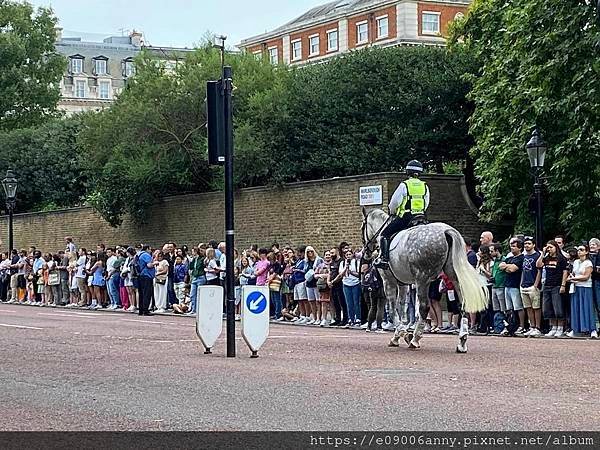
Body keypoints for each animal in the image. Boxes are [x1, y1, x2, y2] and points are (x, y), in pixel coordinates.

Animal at [360, 209, 488, 354]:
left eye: (362, 227)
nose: (366, 253)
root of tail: (446, 231)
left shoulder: (389, 281)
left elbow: (393, 308)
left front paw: (402, 333)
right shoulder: (403, 283)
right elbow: (401, 307)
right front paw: (398, 335)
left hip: (422, 279)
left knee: (424, 307)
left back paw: (415, 339)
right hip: (454, 276)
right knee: (462, 304)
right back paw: (462, 341)